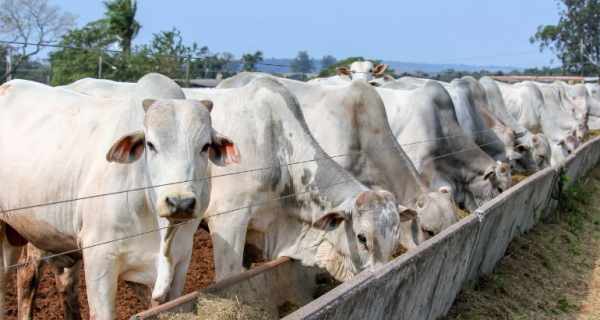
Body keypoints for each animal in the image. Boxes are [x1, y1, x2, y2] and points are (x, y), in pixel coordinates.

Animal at [0, 74, 239, 318]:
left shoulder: (180, 263)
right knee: (16, 277)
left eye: (205, 146)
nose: (179, 202)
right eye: (150, 145)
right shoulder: (100, 262)